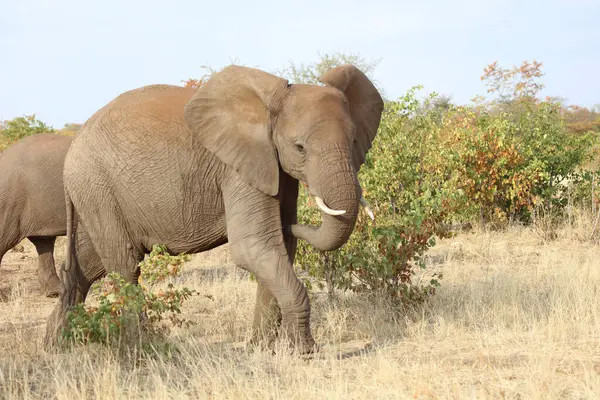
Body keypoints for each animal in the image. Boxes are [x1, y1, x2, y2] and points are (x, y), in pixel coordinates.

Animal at [45, 65, 384, 354]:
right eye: (299, 147)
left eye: (355, 139)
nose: (299, 222)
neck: (266, 109)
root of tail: (72, 146)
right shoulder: (237, 167)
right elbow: (252, 246)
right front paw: (304, 353)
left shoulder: (274, 166)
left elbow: (279, 247)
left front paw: (261, 349)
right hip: (97, 185)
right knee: (125, 261)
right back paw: (141, 347)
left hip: (96, 193)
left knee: (89, 263)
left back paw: (58, 345)